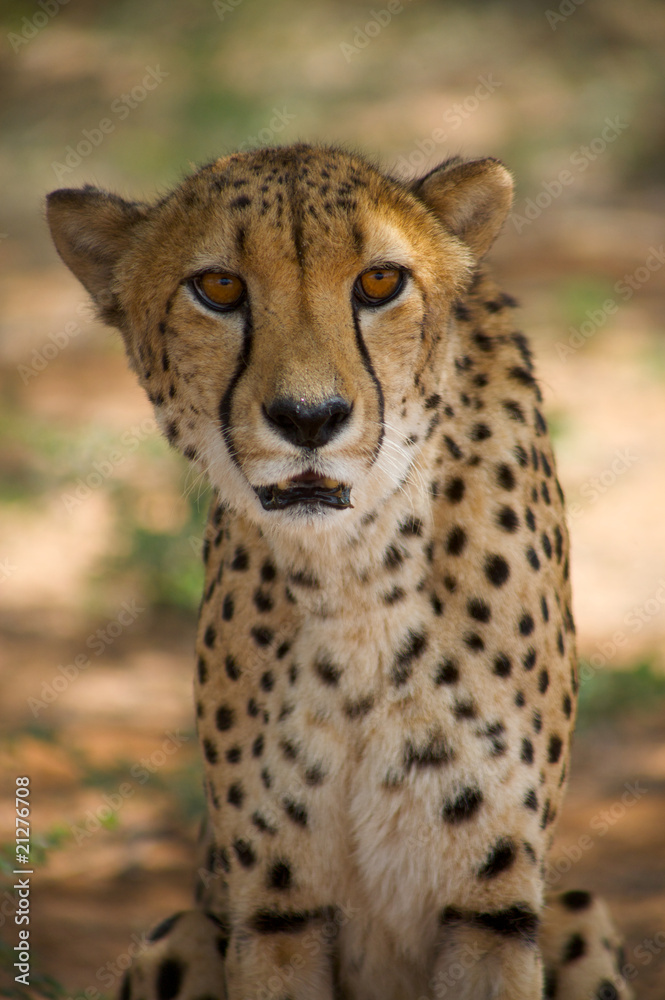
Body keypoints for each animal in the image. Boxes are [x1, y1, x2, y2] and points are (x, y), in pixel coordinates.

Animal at [47, 143, 633, 1000]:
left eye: (380, 282)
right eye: (218, 287)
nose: (309, 418)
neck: (355, 572)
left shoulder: (489, 907)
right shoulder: (275, 912)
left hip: (577, 911)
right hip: (179, 930)